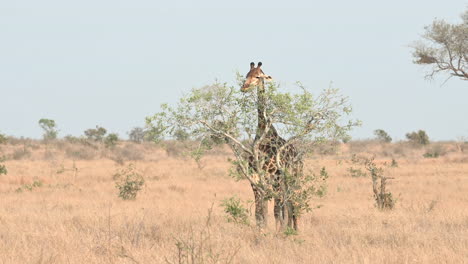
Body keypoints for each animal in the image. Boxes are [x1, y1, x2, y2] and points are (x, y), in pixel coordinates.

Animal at [241, 62, 304, 231]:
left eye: (258, 76)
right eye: (246, 75)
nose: (244, 87)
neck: (264, 134)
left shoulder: (275, 176)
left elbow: (276, 210)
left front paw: (277, 232)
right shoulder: (255, 177)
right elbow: (259, 211)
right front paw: (261, 231)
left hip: (293, 177)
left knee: (292, 203)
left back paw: (294, 230)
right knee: (287, 204)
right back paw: (289, 228)